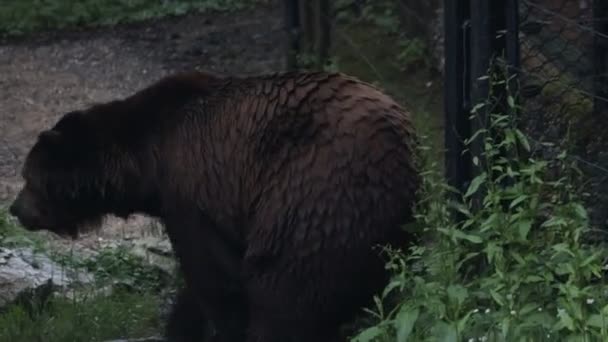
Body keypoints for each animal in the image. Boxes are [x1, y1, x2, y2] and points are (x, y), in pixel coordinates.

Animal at [8, 70, 418, 342]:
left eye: (28, 176)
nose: (14, 209)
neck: (146, 161)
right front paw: (181, 325)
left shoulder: (193, 190)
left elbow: (214, 275)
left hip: (312, 191)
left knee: (287, 285)